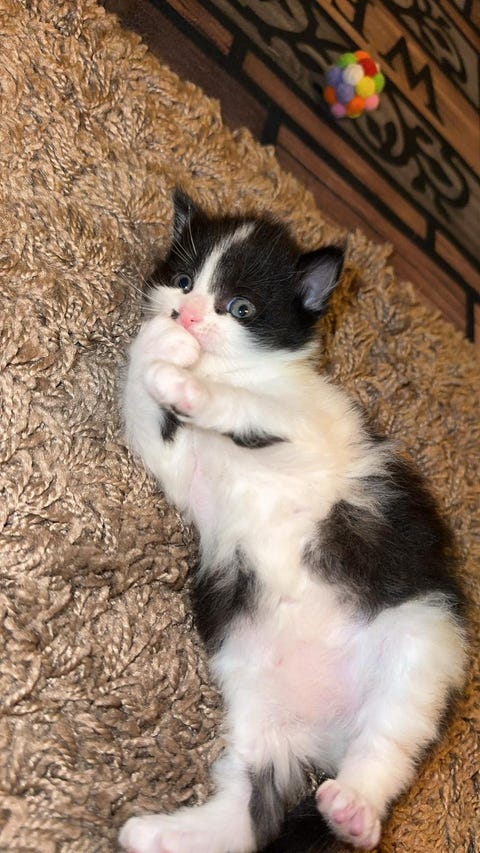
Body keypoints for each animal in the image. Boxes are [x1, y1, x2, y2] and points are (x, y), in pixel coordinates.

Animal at [118, 190, 466, 853]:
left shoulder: (311, 431)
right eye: (184, 281)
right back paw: (158, 835)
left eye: (240, 307)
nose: (188, 317)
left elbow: (250, 406)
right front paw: (159, 346)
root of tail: (327, 735)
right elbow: (143, 406)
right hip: (256, 702)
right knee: (248, 807)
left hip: (420, 644)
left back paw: (354, 809)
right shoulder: (179, 470)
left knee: (389, 742)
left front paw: (181, 373)